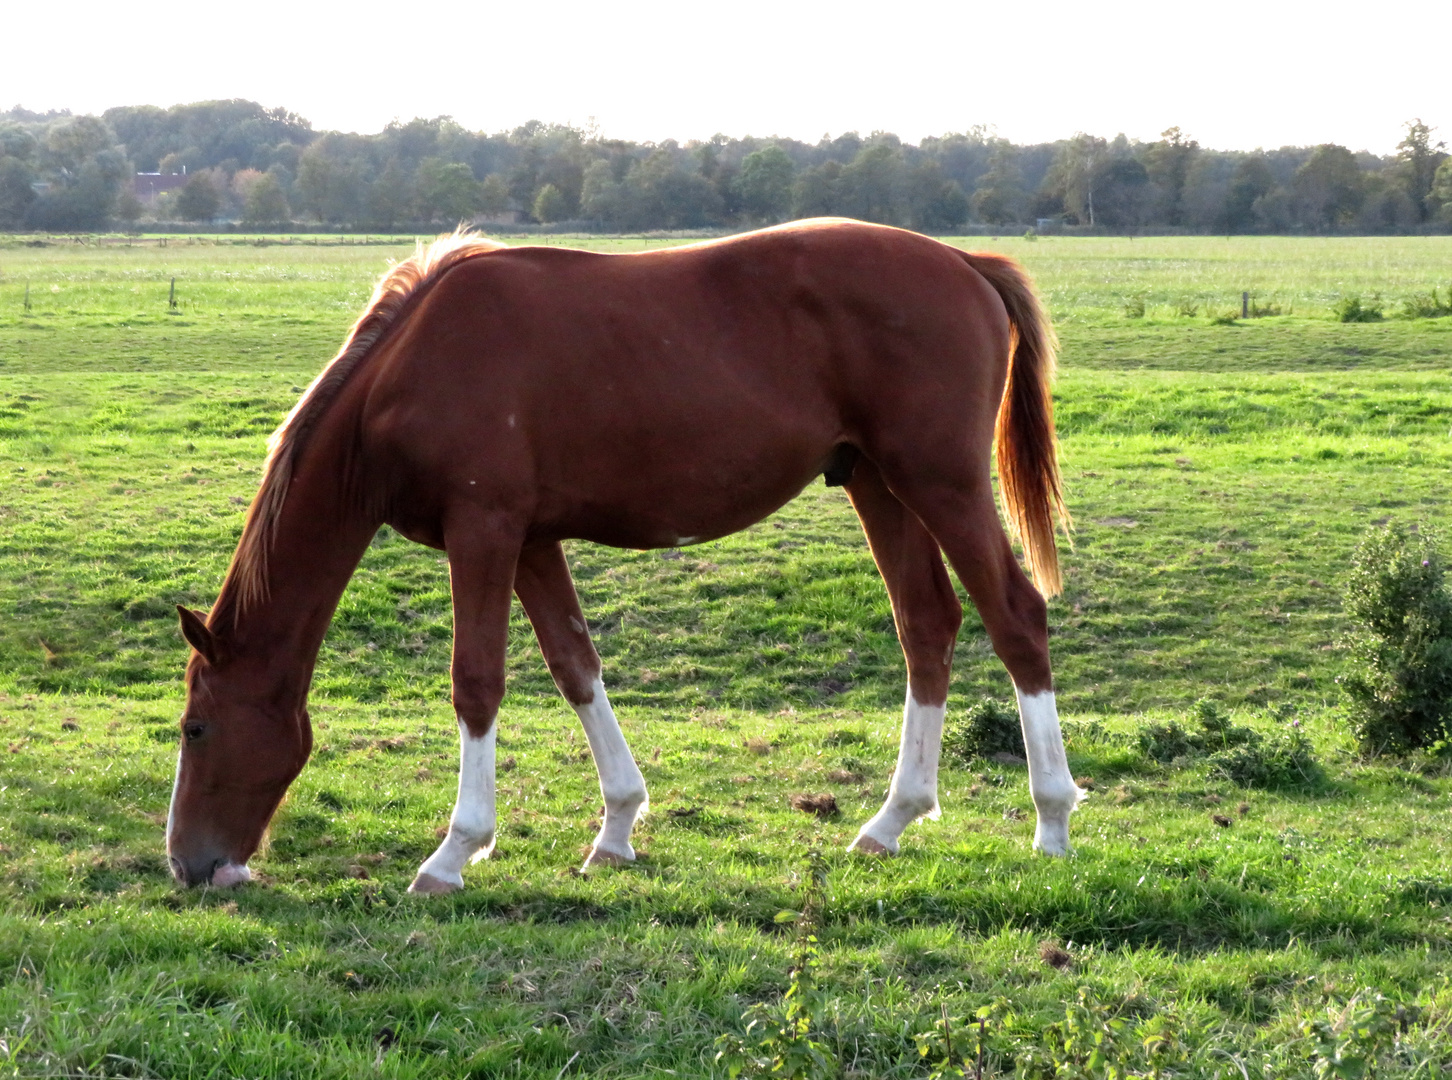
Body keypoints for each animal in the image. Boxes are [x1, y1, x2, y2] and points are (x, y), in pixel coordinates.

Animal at [164, 222, 1086, 894]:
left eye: (195, 728)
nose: (188, 864)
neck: (409, 373)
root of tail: (964, 263)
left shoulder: (484, 531)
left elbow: (477, 682)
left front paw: (455, 852)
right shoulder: (532, 543)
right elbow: (576, 668)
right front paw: (615, 828)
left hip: (942, 484)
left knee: (1016, 619)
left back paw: (1051, 820)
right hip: (878, 484)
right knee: (926, 625)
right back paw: (893, 819)